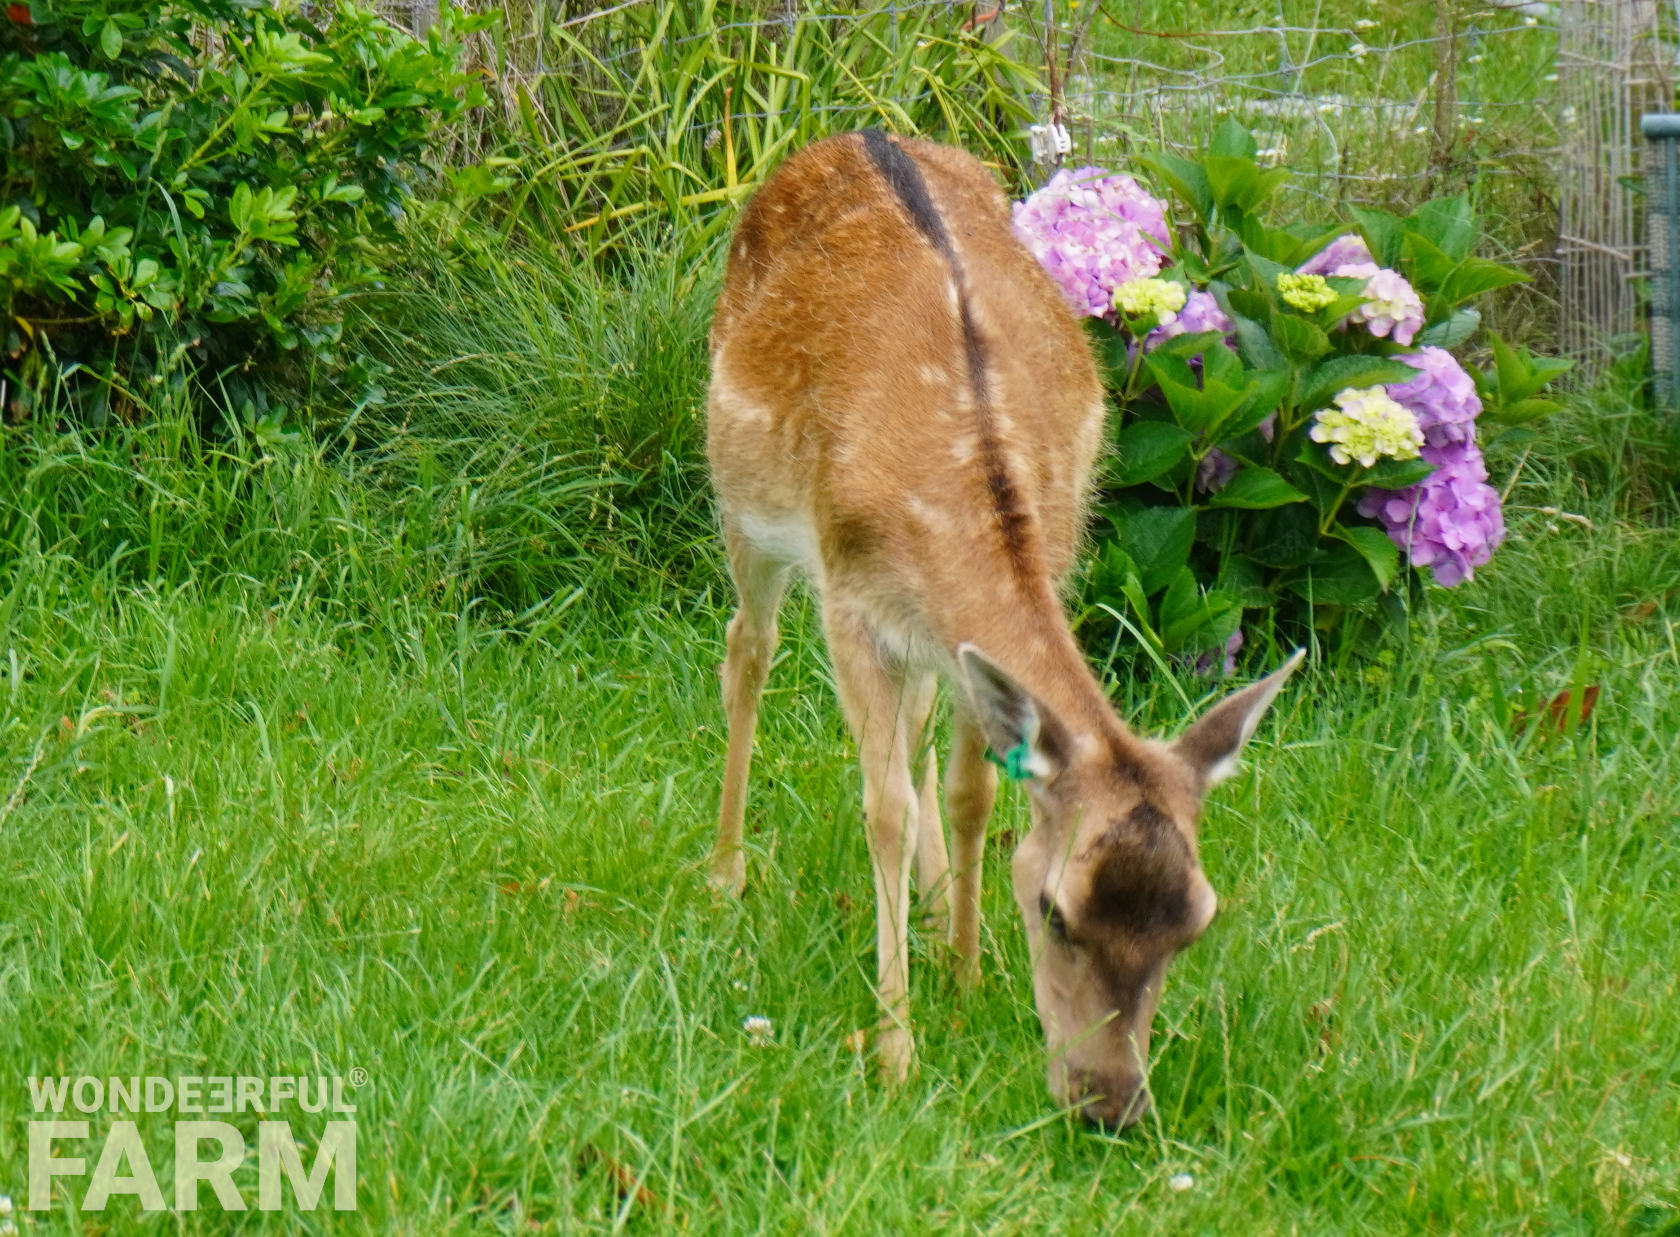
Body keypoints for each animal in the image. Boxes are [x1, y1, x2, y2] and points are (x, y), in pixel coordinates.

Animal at [704, 130, 1303, 1129]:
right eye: (1057, 911)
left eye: (1197, 922)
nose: (1108, 1104)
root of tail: (856, 132)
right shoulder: (849, 603)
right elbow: (884, 809)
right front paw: (897, 1053)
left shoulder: (1002, 605)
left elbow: (971, 792)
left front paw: (968, 975)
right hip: (743, 508)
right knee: (747, 650)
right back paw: (724, 871)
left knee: (911, 726)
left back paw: (934, 902)